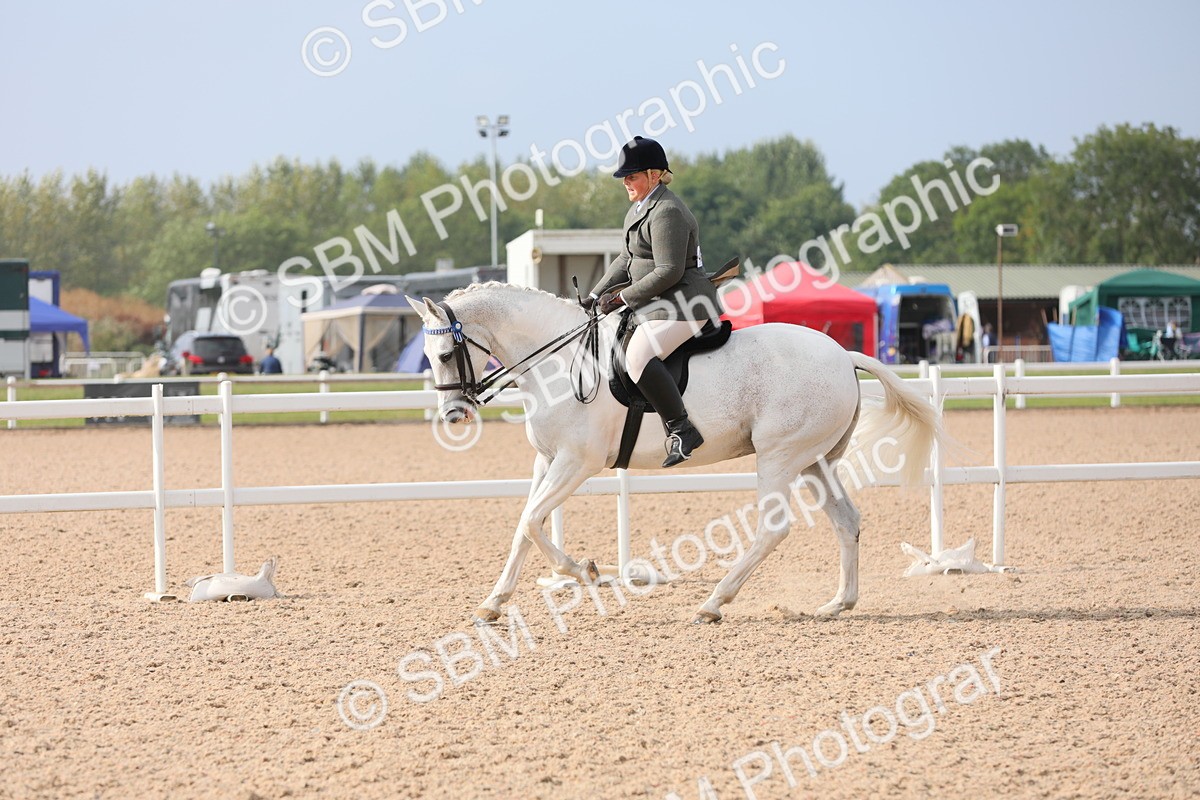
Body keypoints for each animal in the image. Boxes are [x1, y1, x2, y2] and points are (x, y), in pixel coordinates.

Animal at [407, 282, 944, 623]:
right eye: (429, 357)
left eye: (446, 354)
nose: (454, 414)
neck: (558, 360)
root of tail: (841, 354)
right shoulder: (548, 460)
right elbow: (524, 525)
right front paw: (494, 603)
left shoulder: (578, 463)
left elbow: (534, 522)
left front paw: (587, 572)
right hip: (815, 461)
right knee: (846, 520)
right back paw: (838, 604)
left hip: (779, 457)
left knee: (774, 528)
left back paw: (713, 603)